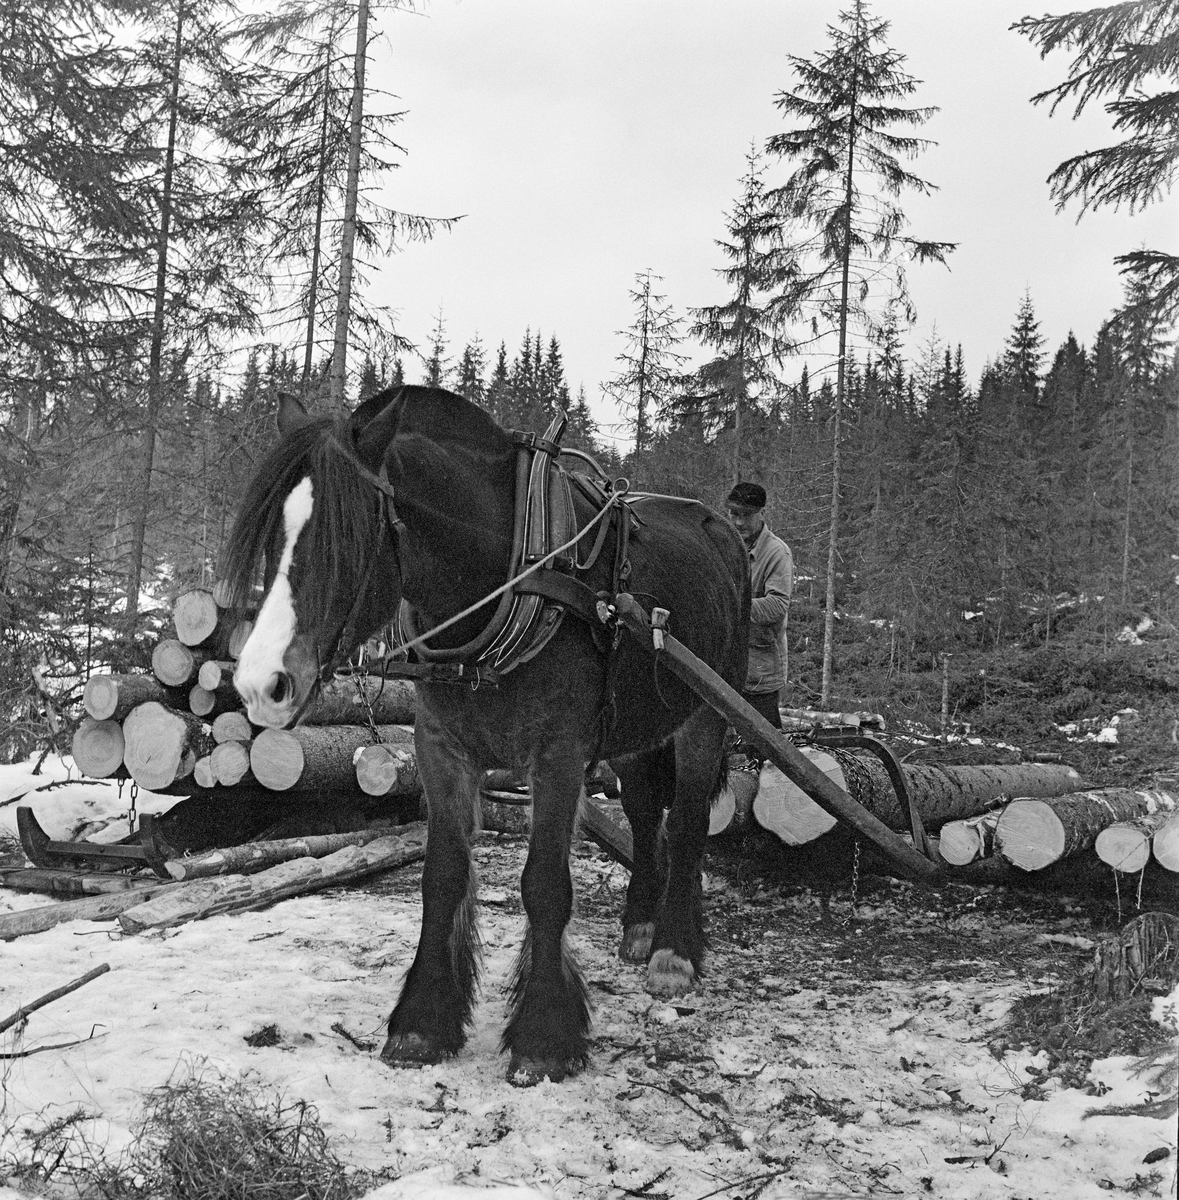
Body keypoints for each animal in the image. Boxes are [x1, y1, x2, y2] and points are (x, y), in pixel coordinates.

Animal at [223, 386, 749, 1089]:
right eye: (271, 537)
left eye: (345, 538)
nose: (259, 685)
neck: (509, 575)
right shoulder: (441, 750)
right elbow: (442, 877)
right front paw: (423, 1021)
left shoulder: (558, 756)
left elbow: (545, 885)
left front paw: (544, 1036)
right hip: (639, 726)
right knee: (643, 811)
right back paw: (640, 928)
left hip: (706, 712)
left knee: (688, 819)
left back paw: (673, 951)